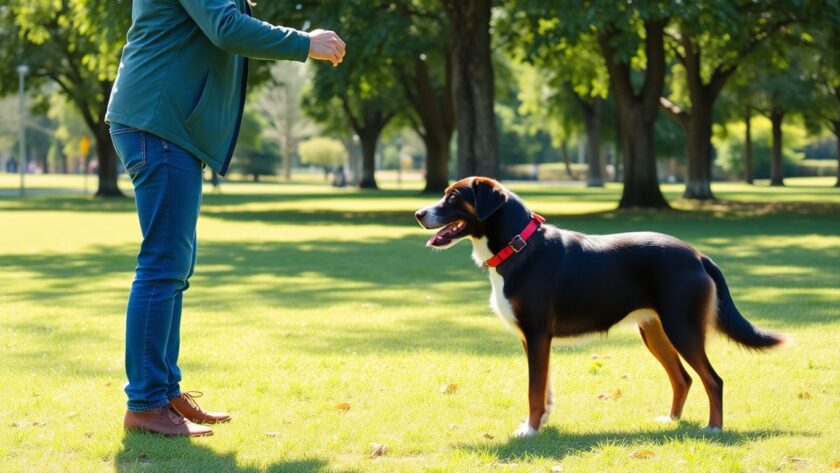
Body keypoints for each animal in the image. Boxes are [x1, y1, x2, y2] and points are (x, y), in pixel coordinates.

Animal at [416, 176, 792, 436]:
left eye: (453, 196)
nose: (419, 213)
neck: (518, 246)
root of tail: (698, 255)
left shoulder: (537, 334)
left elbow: (534, 391)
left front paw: (530, 430)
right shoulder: (532, 339)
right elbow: (544, 388)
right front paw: (542, 423)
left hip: (682, 328)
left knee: (713, 380)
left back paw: (714, 428)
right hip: (655, 332)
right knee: (683, 378)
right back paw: (670, 420)